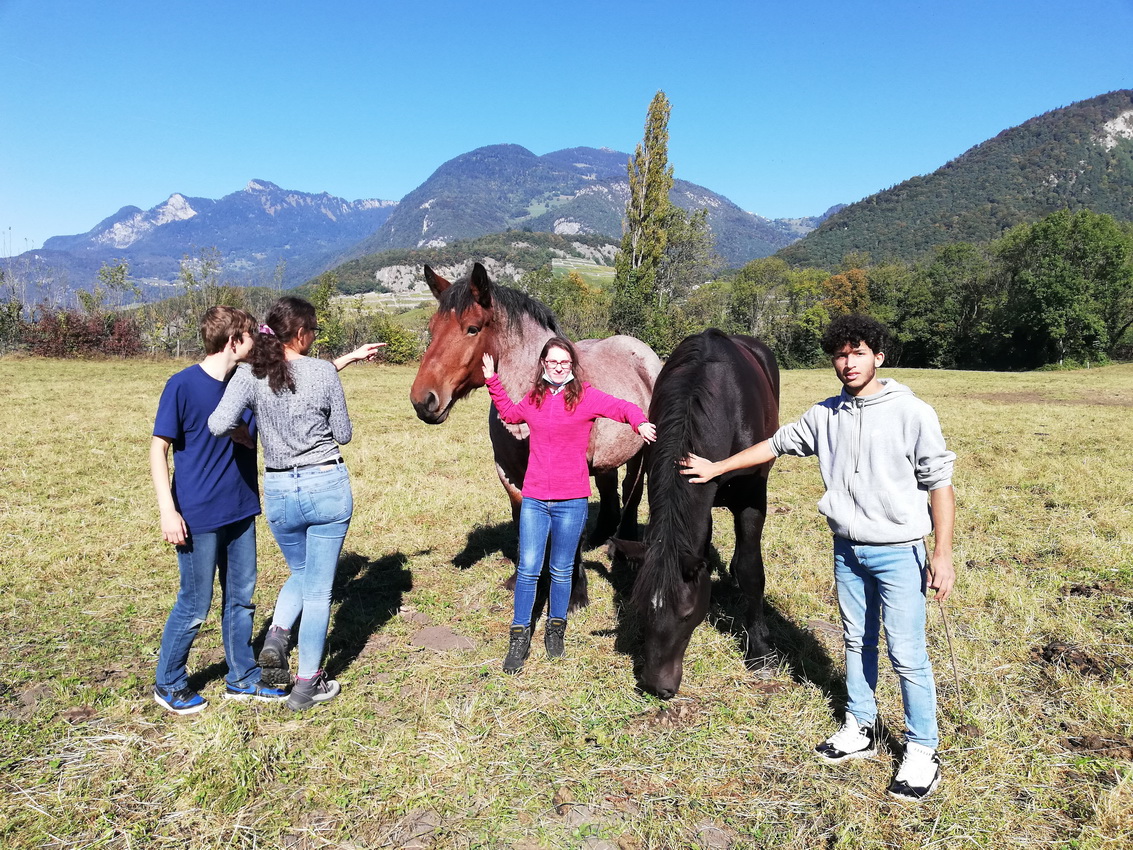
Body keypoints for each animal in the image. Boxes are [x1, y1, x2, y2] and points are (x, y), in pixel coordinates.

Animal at [410, 262, 663, 610]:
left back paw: (620, 544)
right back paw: (603, 534)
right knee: (609, 486)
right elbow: (524, 524)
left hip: (642, 454)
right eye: (432, 328)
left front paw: (575, 593)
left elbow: (571, 535)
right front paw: (523, 580)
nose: (424, 400)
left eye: (472, 329)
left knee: (632, 491)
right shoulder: (510, 475)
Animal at [612, 329, 780, 699]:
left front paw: (760, 650)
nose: (658, 687)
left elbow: (752, 570)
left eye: (687, 615)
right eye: (642, 608)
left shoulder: (752, 498)